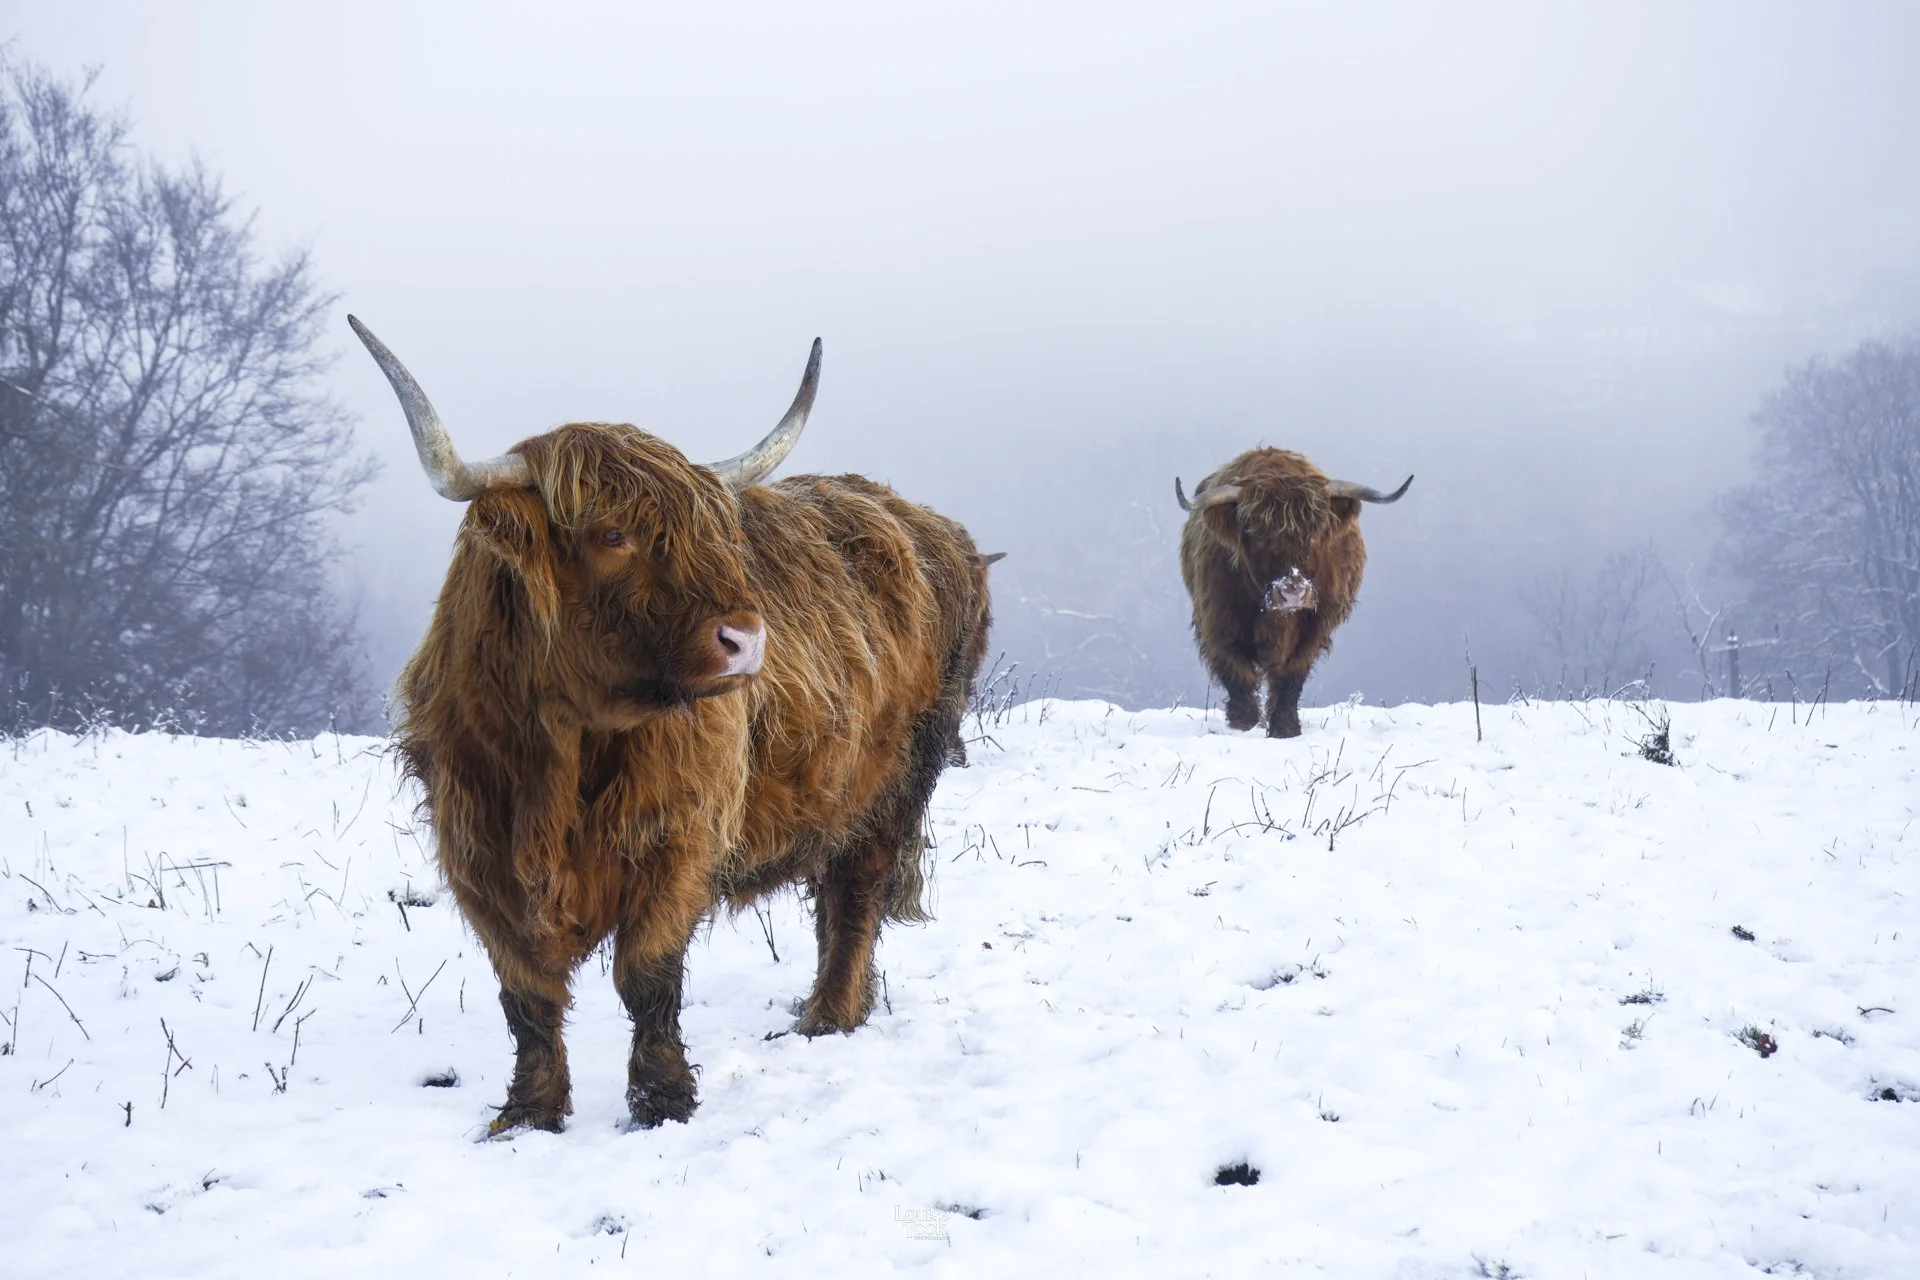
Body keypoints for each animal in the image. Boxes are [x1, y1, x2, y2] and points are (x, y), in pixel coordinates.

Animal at [350, 317, 996, 1134]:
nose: (746, 639)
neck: (563, 748)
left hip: (900, 779)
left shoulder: (677, 838)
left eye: (710, 532)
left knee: (857, 894)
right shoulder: (478, 853)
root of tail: (930, 524)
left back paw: (827, 1019)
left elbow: (647, 976)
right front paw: (529, 1114)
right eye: (612, 533)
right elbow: (526, 997)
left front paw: (661, 1101)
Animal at [1175, 448, 1410, 738]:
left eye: (1316, 531)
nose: (1293, 592)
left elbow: (1290, 677)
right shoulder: (1218, 623)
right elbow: (1238, 675)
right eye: (1255, 531)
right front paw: (1244, 725)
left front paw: (1285, 728)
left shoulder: (1314, 630)